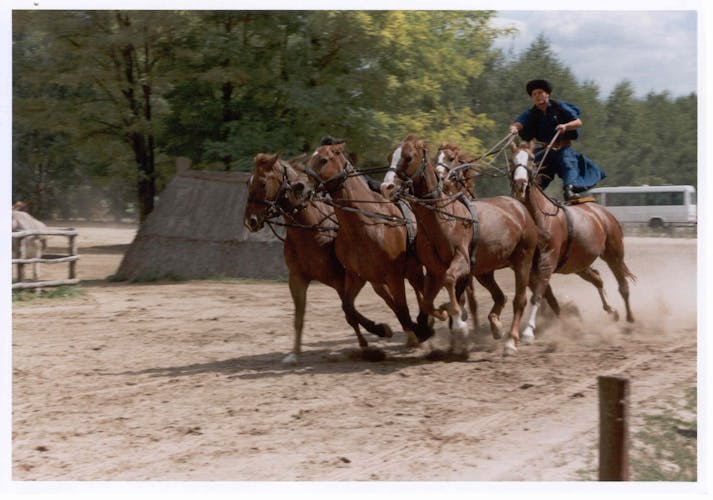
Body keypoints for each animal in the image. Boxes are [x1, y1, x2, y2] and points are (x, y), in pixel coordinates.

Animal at [242, 152, 392, 364]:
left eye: (263, 183)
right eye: (249, 182)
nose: (251, 221)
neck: (311, 229)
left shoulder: (342, 280)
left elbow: (350, 313)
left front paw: (375, 336)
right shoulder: (297, 279)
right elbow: (300, 317)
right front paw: (294, 354)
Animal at [300, 139, 434, 346]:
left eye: (323, 160)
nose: (304, 189)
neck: (365, 224)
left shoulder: (394, 276)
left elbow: (402, 307)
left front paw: (416, 331)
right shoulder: (357, 276)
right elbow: (348, 307)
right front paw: (381, 329)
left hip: (413, 270)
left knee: (420, 291)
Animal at [382, 135, 536, 358]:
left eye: (409, 157)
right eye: (389, 157)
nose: (386, 187)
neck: (444, 217)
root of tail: (519, 207)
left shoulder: (461, 262)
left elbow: (451, 282)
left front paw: (459, 325)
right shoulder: (433, 271)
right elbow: (427, 302)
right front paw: (443, 313)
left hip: (523, 260)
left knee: (520, 300)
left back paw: (510, 342)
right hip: (484, 271)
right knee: (500, 296)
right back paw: (496, 327)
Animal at [508, 143, 636, 342]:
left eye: (531, 158)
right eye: (511, 159)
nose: (520, 185)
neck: (540, 218)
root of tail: (603, 213)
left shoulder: (547, 263)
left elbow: (538, 296)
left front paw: (529, 331)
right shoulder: (528, 267)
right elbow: (547, 297)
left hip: (614, 255)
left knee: (623, 286)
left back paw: (629, 319)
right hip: (579, 265)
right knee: (597, 279)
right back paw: (611, 311)